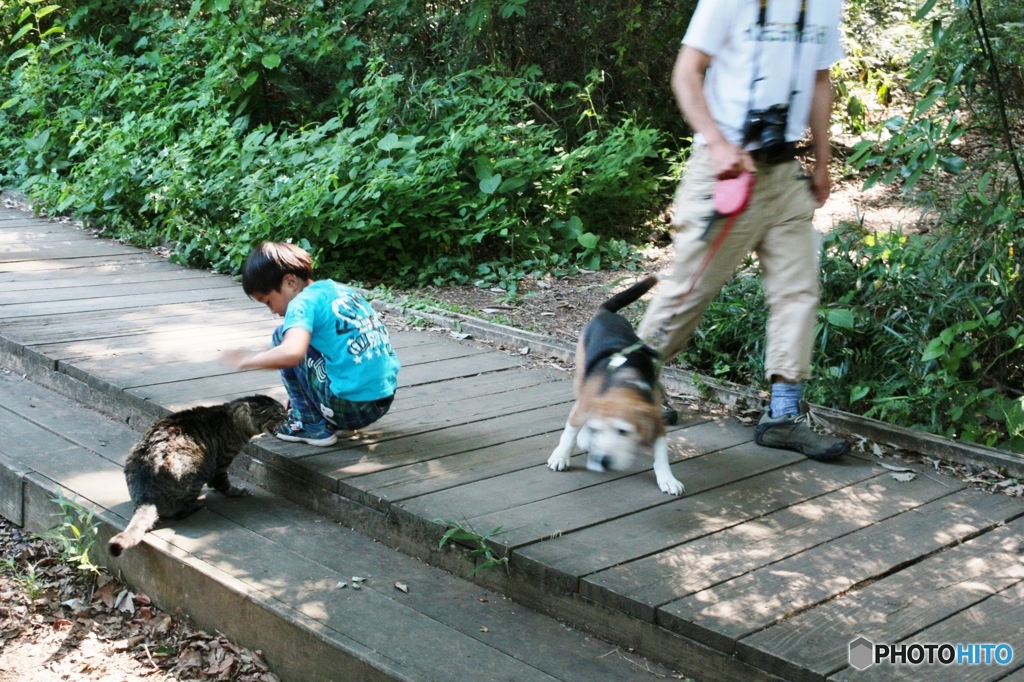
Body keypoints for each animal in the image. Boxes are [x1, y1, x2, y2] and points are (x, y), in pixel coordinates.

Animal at [109, 393, 286, 552]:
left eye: (284, 409)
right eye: (278, 413)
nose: (287, 416)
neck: (233, 417)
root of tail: (147, 496)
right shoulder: (221, 464)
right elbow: (223, 484)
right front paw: (236, 491)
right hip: (194, 471)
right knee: (179, 512)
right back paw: (196, 504)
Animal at [548, 276, 684, 493]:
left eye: (623, 431)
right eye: (596, 429)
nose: (601, 460)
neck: (622, 383)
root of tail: (605, 313)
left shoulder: (655, 416)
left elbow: (661, 452)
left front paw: (667, 479)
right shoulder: (584, 407)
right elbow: (569, 434)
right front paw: (560, 456)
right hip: (580, 377)